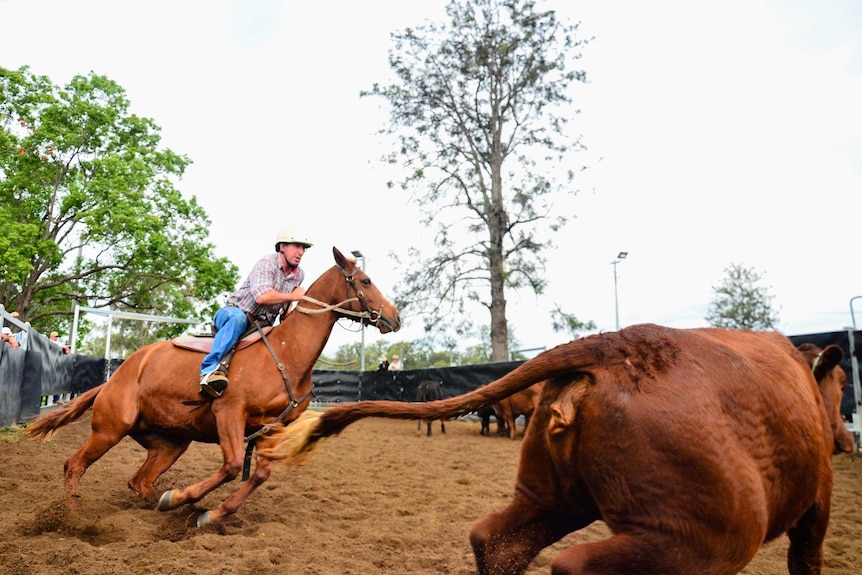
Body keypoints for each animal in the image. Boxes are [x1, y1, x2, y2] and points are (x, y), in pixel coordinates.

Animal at [24, 248, 402, 528]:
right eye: (365, 280)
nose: (395, 317)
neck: (285, 351)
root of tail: (116, 377)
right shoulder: (228, 412)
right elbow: (233, 465)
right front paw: (184, 500)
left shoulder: (272, 427)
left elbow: (258, 474)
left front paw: (203, 511)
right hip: (111, 428)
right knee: (74, 464)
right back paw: (73, 521)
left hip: (171, 443)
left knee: (139, 481)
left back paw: (159, 507)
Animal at [274, 326, 852, 572]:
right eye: (843, 383)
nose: (846, 439)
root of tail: (614, 346)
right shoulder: (817, 503)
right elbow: (807, 558)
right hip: (700, 536)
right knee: (574, 565)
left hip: (550, 496)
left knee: (496, 543)